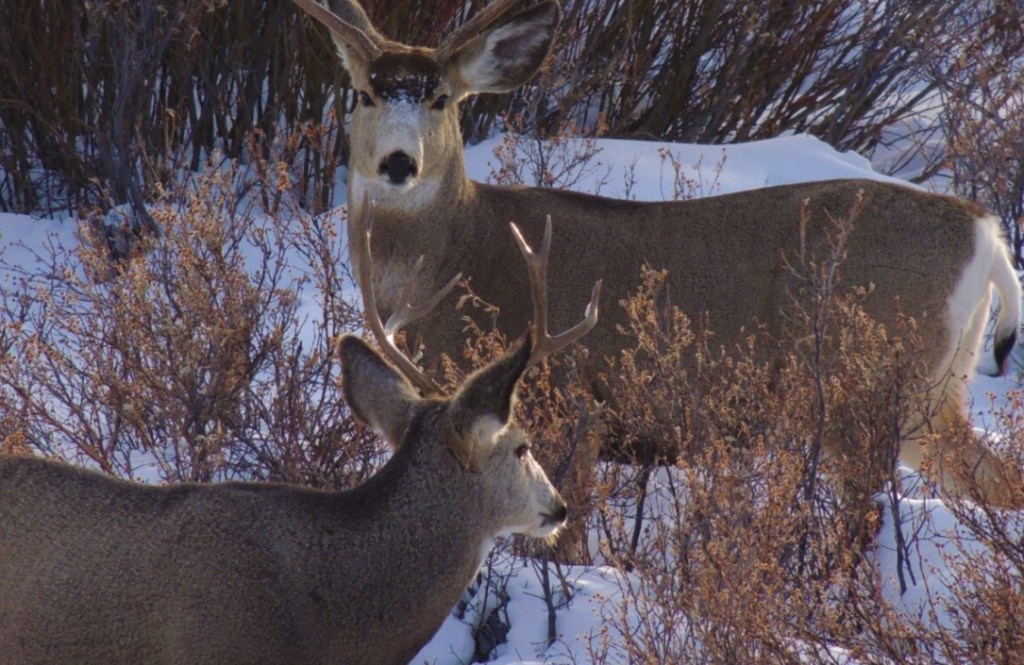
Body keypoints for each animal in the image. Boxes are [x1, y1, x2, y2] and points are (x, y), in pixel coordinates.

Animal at [291, 0, 1023, 507]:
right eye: (364, 93)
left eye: (442, 98)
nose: (397, 162)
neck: (465, 254)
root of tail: (986, 232)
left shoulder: (569, 406)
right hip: (934, 395)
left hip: (866, 383)